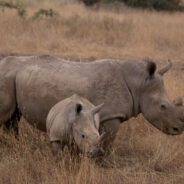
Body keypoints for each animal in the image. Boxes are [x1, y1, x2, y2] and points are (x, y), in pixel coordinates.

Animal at [0, 54, 184, 152]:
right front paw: (104, 163)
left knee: (12, 118)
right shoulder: (111, 116)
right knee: (6, 116)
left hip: (14, 78)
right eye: (163, 106)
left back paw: (14, 145)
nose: (179, 129)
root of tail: (3, 63)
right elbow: (108, 141)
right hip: (6, 76)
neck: (139, 84)